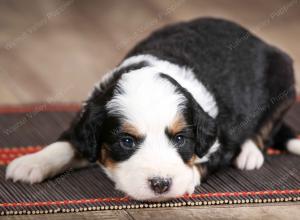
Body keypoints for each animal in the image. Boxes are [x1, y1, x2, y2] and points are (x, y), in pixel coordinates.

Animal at [5, 17, 300, 201]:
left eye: (180, 139)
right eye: (126, 141)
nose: (160, 184)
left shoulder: (221, 138)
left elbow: (203, 162)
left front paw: (186, 178)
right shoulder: (86, 118)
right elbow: (65, 144)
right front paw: (30, 163)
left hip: (283, 78)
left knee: (265, 126)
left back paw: (250, 153)